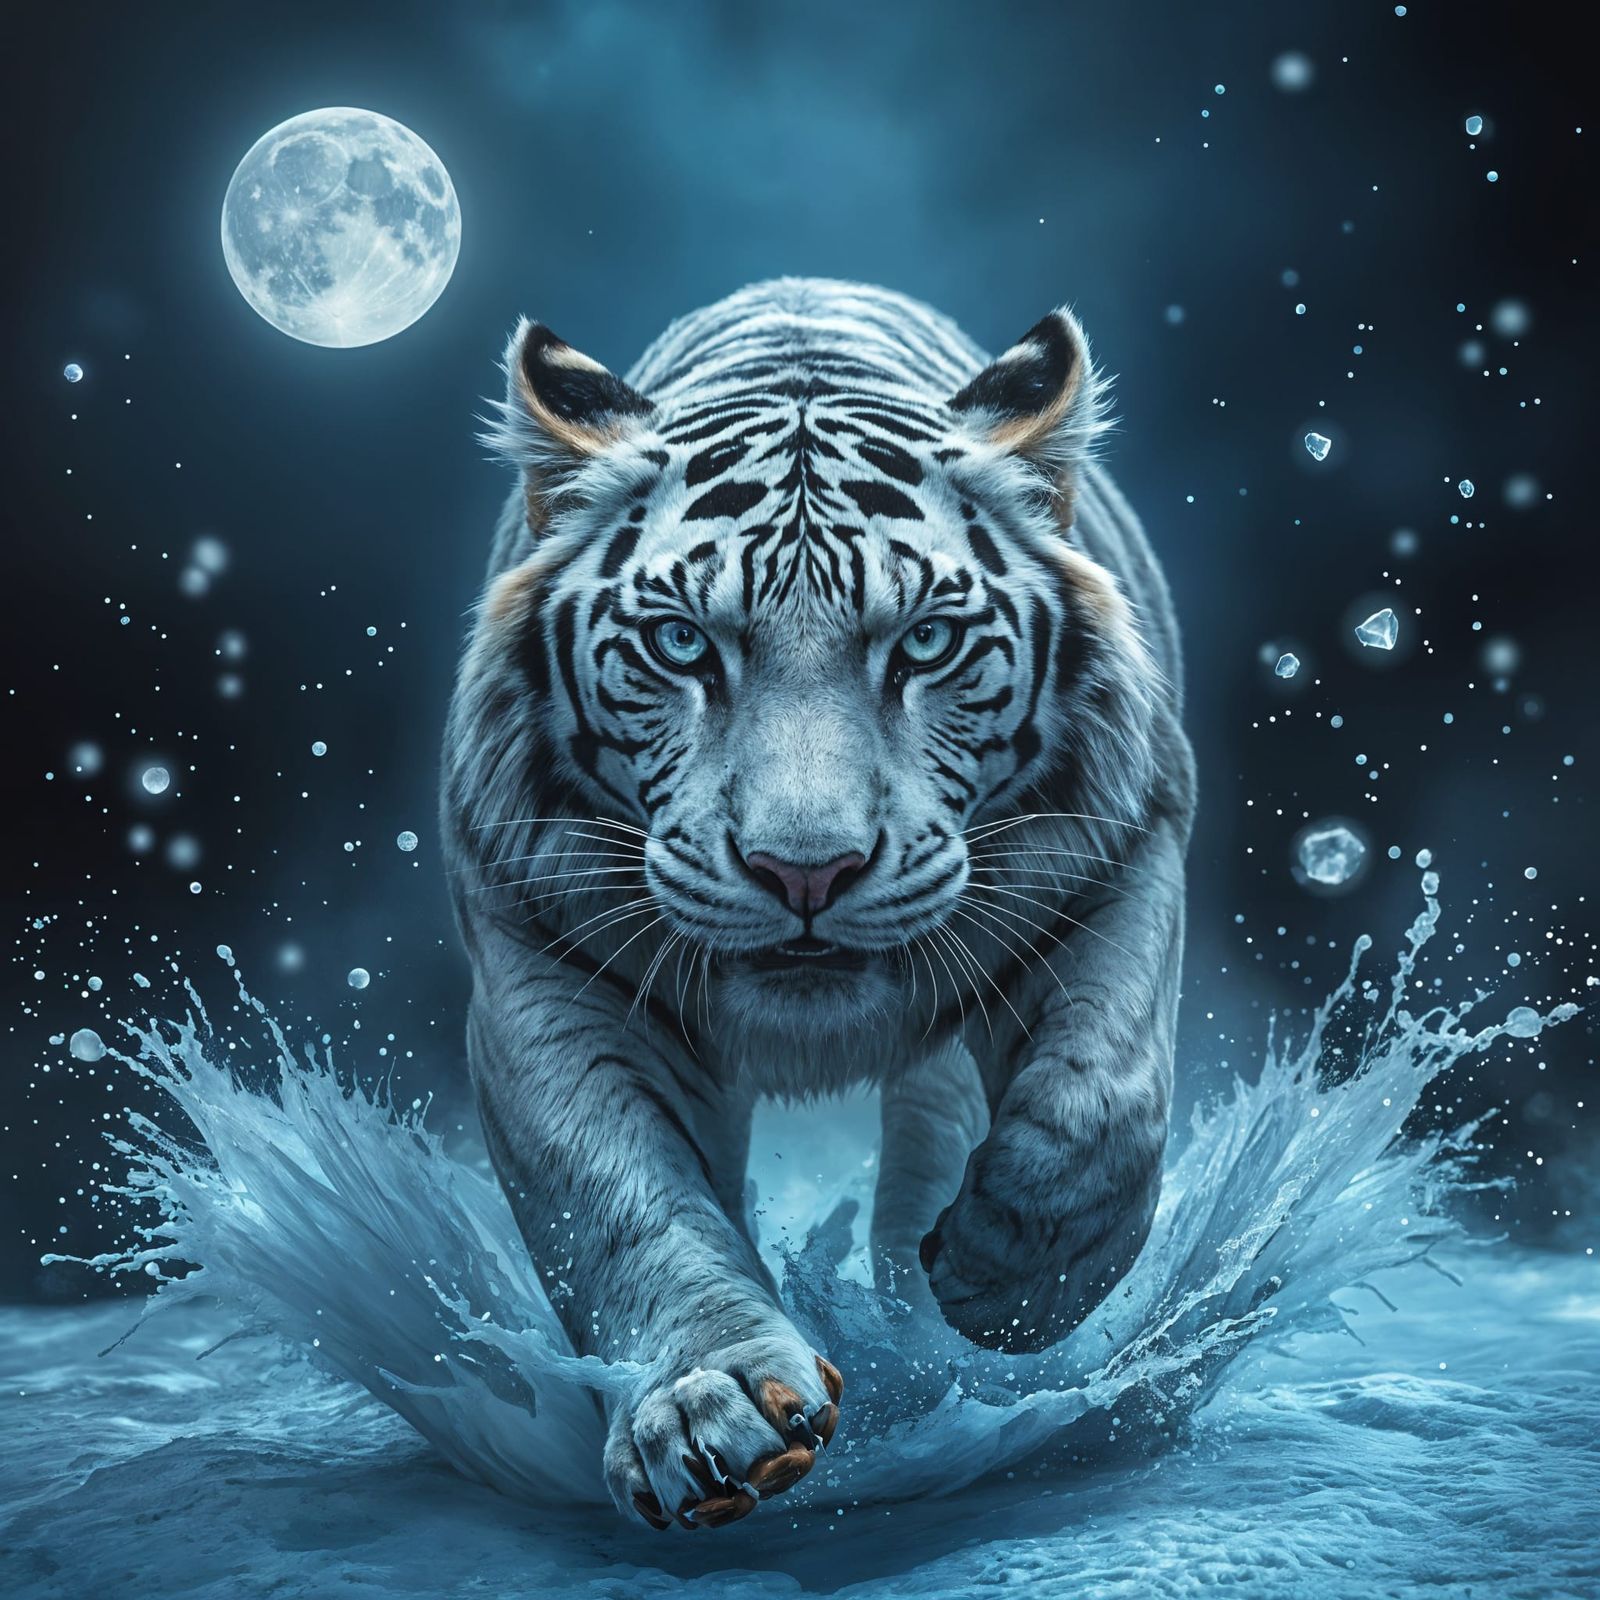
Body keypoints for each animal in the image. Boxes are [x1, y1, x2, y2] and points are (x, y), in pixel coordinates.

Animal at [441, 278, 1194, 1531]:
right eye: (680, 643)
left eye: (926, 641)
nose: (806, 870)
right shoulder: (542, 964)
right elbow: (624, 1205)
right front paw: (708, 1407)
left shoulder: (1124, 853)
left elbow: (1101, 1104)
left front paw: (996, 1280)